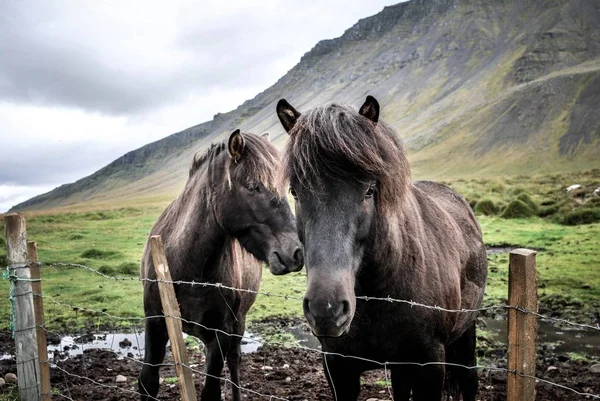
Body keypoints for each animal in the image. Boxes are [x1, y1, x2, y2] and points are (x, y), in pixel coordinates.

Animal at [138, 130, 302, 398]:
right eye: (253, 186)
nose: (296, 252)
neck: (191, 270)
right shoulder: (155, 321)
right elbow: (148, 382)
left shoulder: (221, 332)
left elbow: (212, 390)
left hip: (237, 326)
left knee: (234, 364)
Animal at [276, 97, 488, 400]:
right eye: (295, 191)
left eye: (369, 190)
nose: (326, 309)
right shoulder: (338, 368)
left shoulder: (430, 367)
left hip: (466, 334)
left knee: (469, 381)